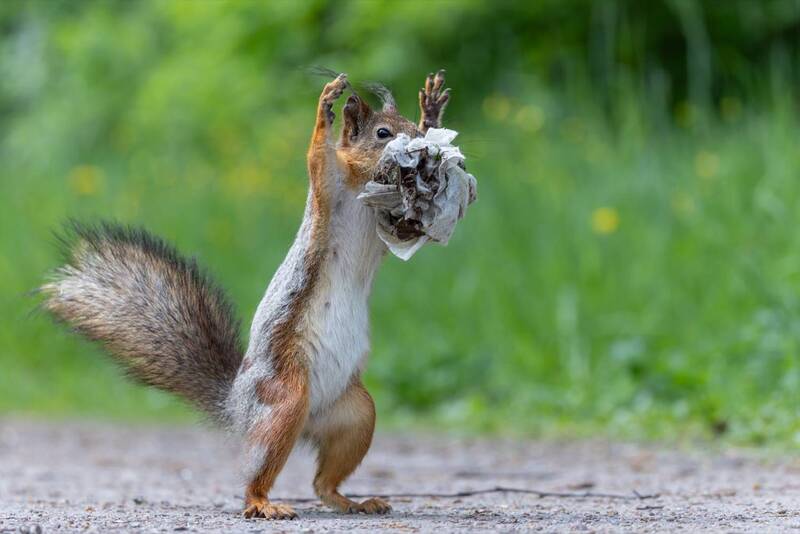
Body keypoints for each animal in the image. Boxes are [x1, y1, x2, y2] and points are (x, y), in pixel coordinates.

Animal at [40, 70, 451, 520]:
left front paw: (432, 110)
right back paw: (264, 503)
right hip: (286, 399)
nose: (421, 148)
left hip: (356, 415)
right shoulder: (329, 182)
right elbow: (316, 155)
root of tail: (237, 407)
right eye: (382, 133)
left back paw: (353, 501)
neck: (365, 186)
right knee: (259, 473)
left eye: (410, 127)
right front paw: (324, 107)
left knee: (323, 483)